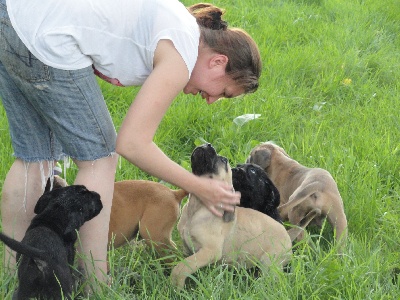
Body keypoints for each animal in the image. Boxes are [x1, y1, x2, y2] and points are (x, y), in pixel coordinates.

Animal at [172, 144, 294, 290]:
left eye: (223, 160)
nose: (208, 144)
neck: (196, 208)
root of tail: (289, 241)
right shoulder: (186, 248)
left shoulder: (210, 251)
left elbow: (181, 267)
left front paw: (176, 287)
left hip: (269, 262)